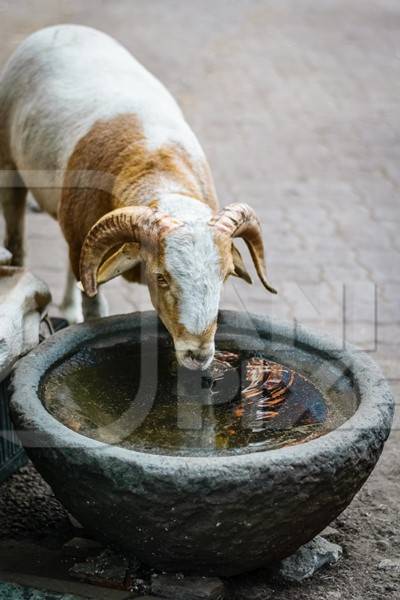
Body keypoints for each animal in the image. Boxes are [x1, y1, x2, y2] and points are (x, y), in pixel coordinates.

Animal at [0, 25, 276, 370]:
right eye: (161, 277)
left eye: (225, 276)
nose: (198, 355)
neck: (156, 165)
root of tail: (61, 29)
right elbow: (96, 311)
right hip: (10, 172)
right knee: (17, 245)